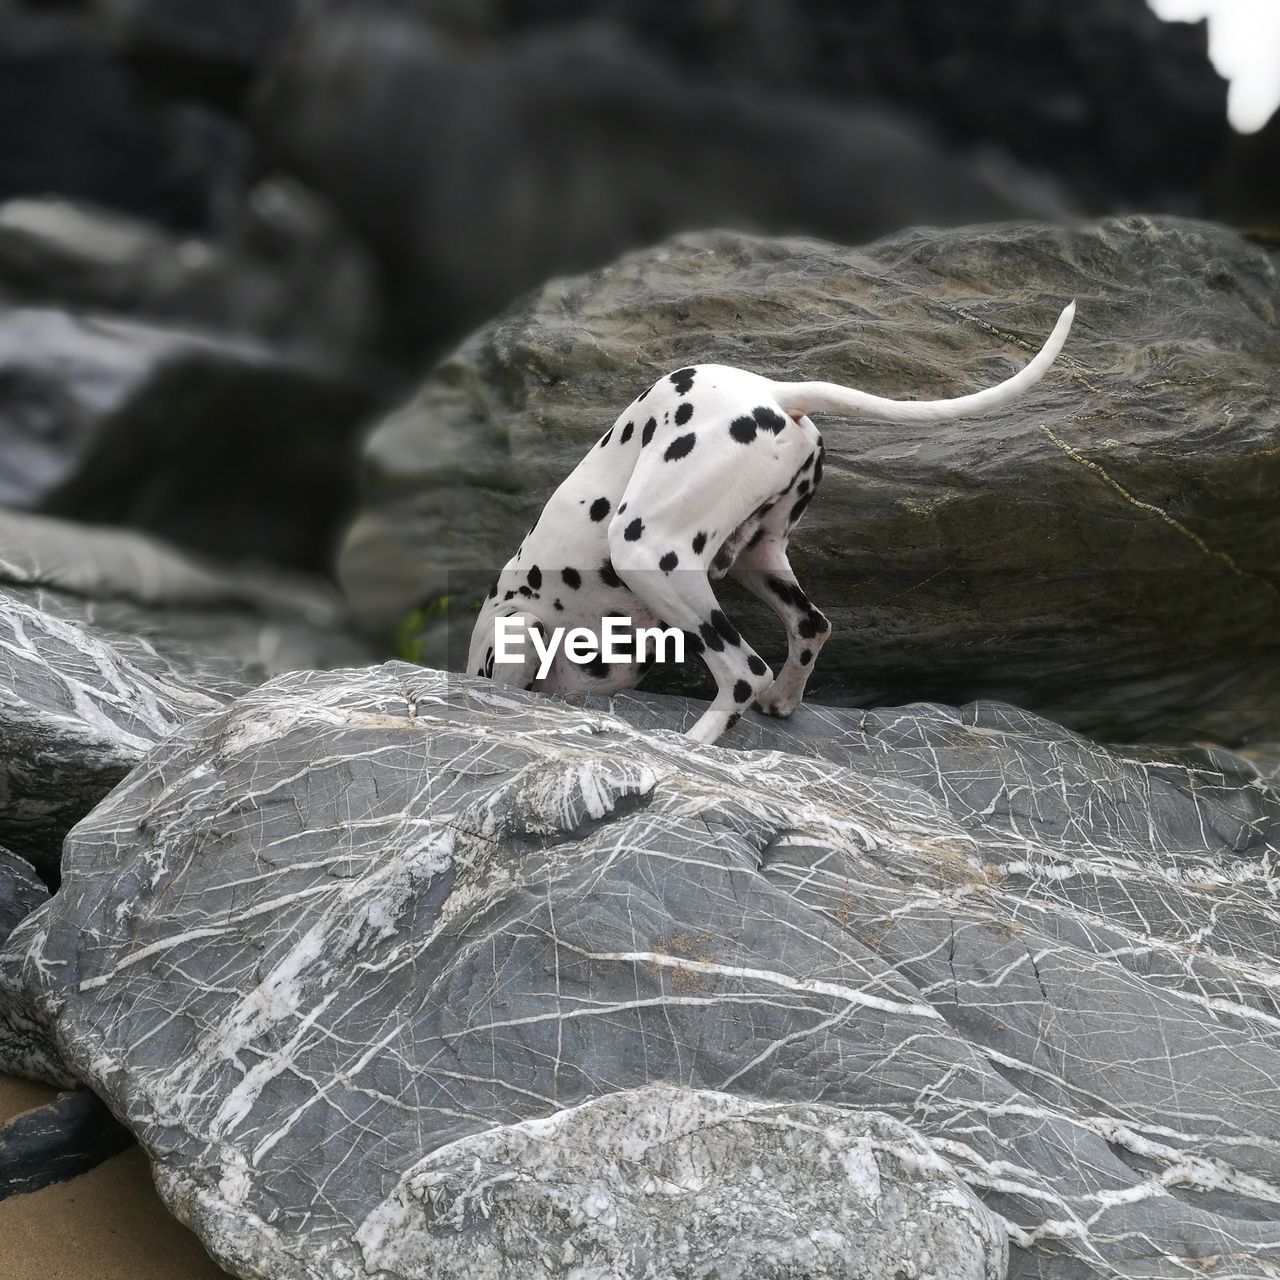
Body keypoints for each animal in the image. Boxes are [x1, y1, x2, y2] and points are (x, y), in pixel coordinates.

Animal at [468, 300, 1070, 747]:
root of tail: (772, 392)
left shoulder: (511, 632)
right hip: (757, 560)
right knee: (811, 625)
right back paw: (783, 699)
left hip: (647, 557)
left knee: (744, 671)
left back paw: (695, 743)